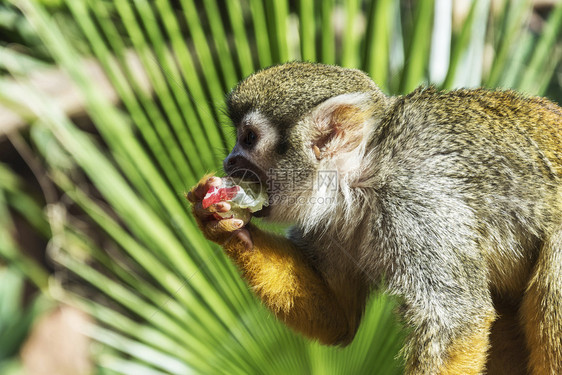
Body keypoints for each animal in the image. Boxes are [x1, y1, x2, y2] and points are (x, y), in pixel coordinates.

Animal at [188, 62, 560, 375]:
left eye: (248, 139)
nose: (229, 160)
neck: (364, 173)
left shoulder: (418, 202)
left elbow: (457, 321)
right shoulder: (332, 219)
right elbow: (338, 317)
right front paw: (224, 223)